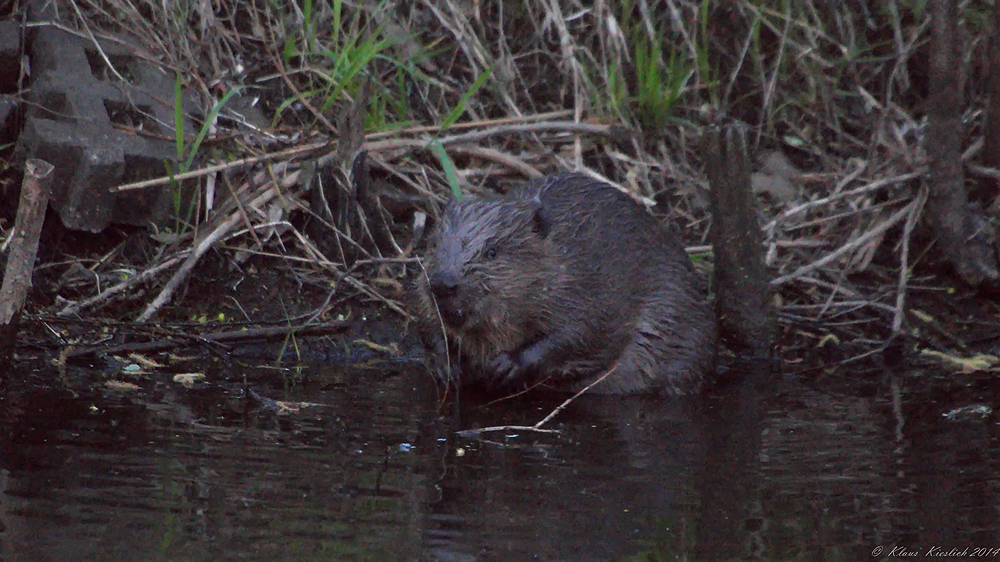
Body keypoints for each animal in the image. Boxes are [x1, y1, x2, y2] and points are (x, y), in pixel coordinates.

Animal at [414, 172, 720, 394]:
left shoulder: (583, 286)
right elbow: (426, 323)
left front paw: (505, 365)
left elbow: (579, 333)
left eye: (491, 252)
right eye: (435, 243)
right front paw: (446, 366)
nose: (443, 284)